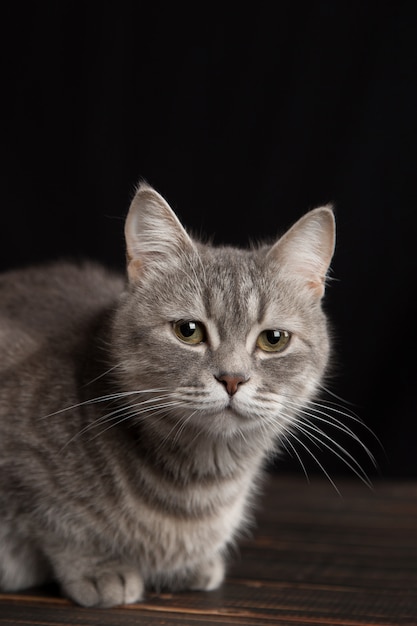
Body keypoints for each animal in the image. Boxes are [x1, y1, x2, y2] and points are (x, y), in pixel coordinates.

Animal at [0, 180, 336, 604]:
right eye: (188, 331)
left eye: (273, 339)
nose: (232, 379)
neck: (199, 487)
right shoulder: (24, 466)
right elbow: (59, 524)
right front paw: (99, 568)